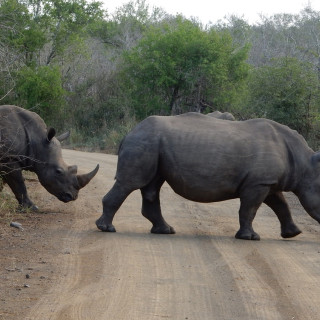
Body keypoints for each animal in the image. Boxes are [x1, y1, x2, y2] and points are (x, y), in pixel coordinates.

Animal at [95, 112, 320, 240]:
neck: (304, 164)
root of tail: (129, 132)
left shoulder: (267, 182)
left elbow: (281, 205)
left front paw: (293, 233)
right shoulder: (258, 183)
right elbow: (250, 209)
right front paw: (250, 237)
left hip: (152, 144)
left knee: (152, 187)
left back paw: (166, 230)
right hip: (144, 141)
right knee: (130, 183)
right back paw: (107, 229)